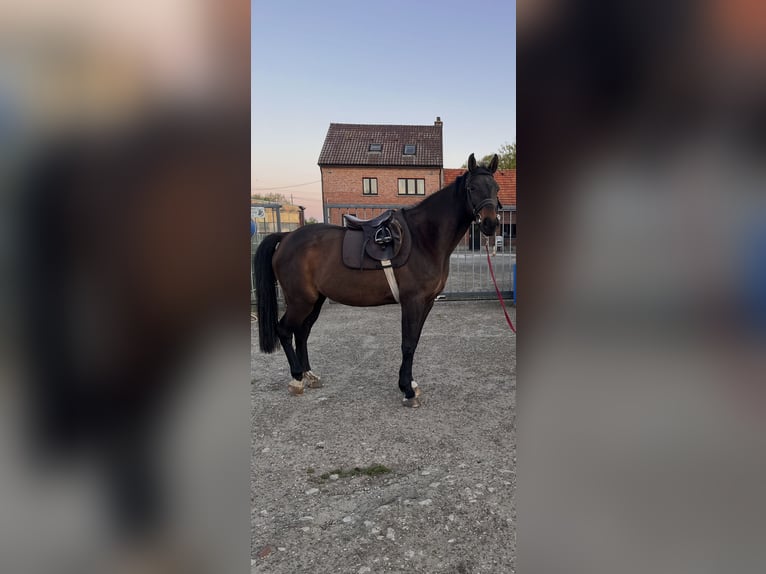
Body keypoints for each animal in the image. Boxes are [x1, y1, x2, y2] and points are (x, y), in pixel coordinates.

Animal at [254, 153, 501, 407]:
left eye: (496, 188)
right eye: (472, 188)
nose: (490, 224)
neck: (424, 238)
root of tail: (286, 237)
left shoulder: (428, 302)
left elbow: (415, 341)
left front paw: (410, 384)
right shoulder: (412, 302)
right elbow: (408, 343)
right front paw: (407, 390)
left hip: (315, 300)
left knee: (302, 332)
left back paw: (309, 375)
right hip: (300, 301)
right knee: (284, 330)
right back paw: (296, 379)